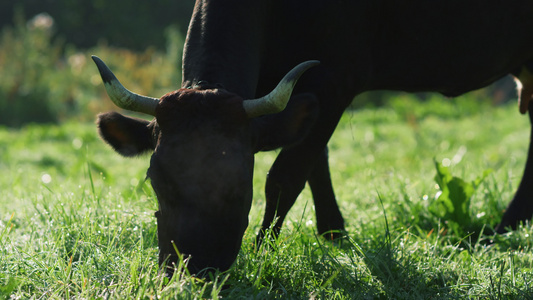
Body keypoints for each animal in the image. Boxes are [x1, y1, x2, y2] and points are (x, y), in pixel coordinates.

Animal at [93, 1, 532, 276]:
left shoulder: (336, 78)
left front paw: (263, 251)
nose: (195, 268)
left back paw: (507, 226)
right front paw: (334, 234)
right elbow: (314, 161)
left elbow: (287, 175)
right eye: (155, 180)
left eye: (240, 184)